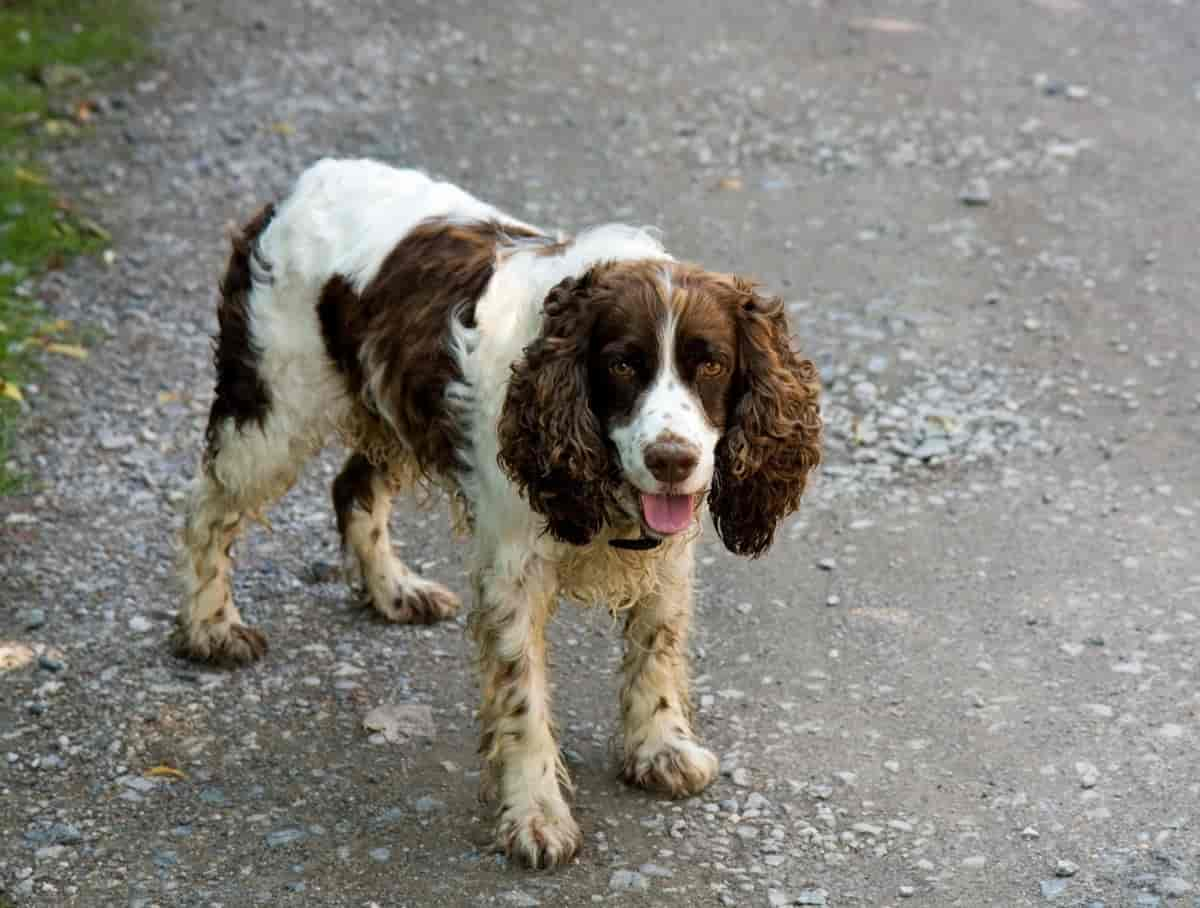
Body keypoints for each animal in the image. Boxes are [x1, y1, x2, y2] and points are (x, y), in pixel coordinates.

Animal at [174, 159, 820, 868]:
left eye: (712, 363)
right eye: (623, 364)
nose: (672, 459)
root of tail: (295, 186)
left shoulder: (668, 557)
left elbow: (657, 649)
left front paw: (660, 750)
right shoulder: (513, 570)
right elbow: (522, 699)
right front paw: (535, 815)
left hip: (389, 406)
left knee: (351, 489)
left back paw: (394, 592)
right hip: (272, 412)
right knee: (204, 511)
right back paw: (210, 628)